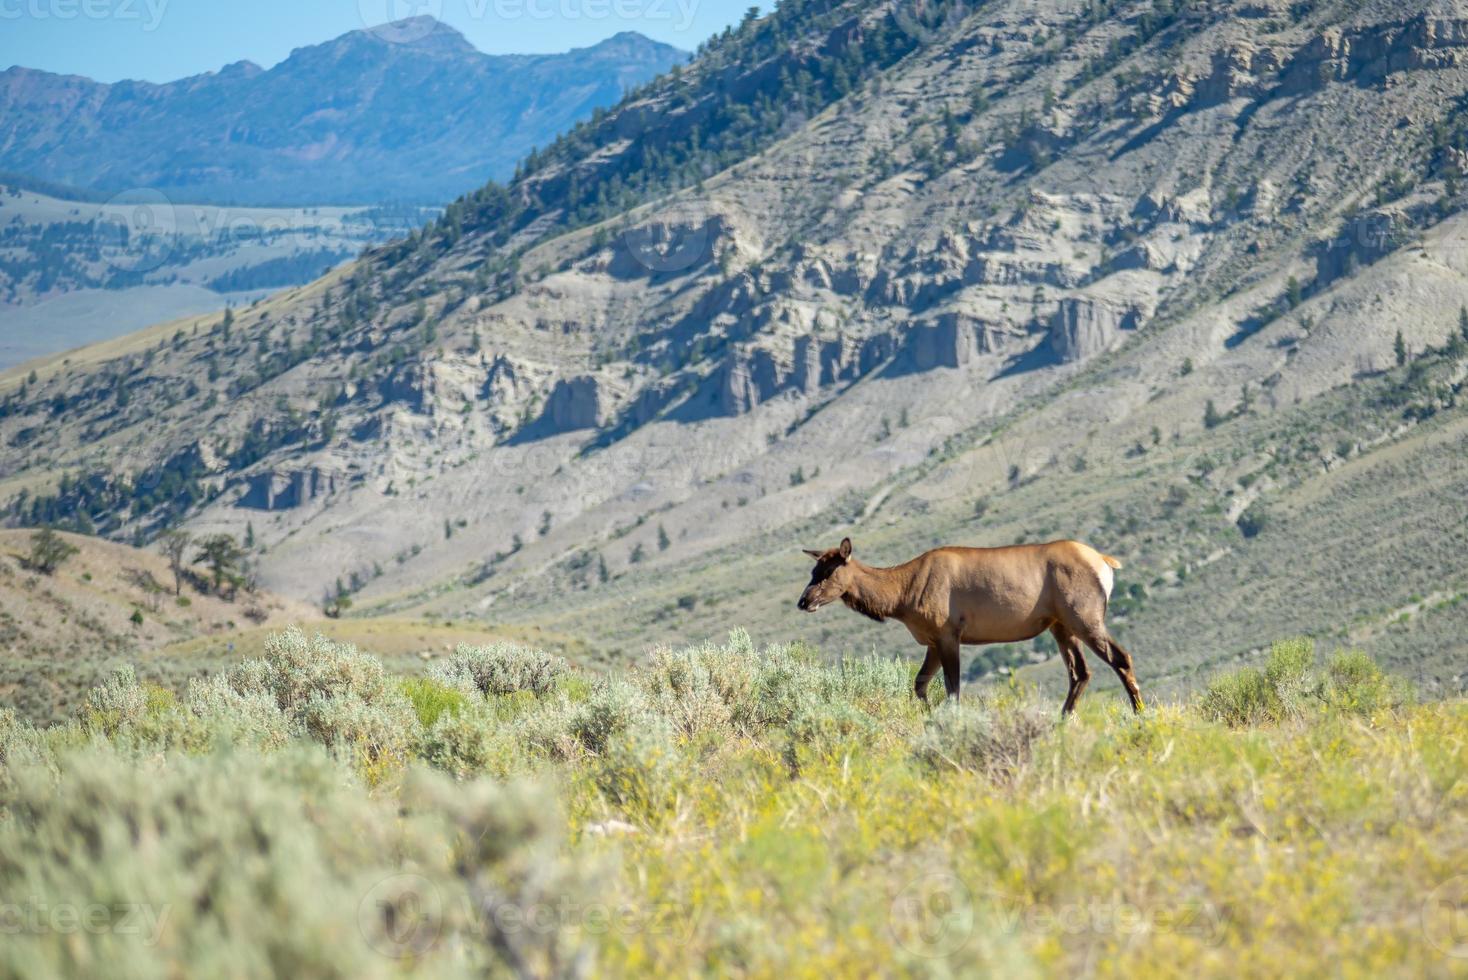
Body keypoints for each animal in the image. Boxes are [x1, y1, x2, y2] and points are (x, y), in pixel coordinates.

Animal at [798, 536, 1139, 712]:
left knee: (1120, 657)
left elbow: (953, 688)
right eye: (813, 571)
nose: (803, 602)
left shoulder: (948, 632)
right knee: (1080, 671)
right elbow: (920, 684)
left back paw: (1140, 715)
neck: (902, 597)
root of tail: (1106, 563)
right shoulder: (933, 641)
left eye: (828, 572)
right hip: (1060, 624)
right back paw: (1062, 720)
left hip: (1085, 616)